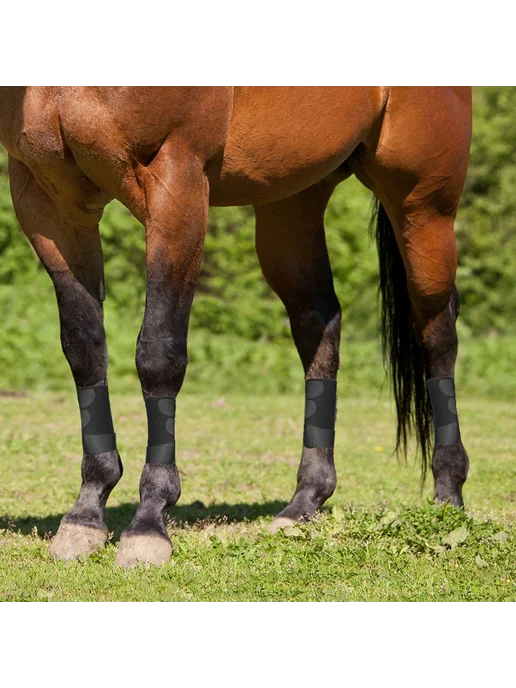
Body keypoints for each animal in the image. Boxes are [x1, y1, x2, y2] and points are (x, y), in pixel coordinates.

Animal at [0, 85, 472, 567]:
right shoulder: (48, 200)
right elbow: (84, 350)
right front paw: (85, 516)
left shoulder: (177, 184)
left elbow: (159, 355)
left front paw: (148, 523)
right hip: (292, 202)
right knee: (319, 324)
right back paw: (303, 504)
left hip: (422, 204)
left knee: (437, 332)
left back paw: (448, 499)